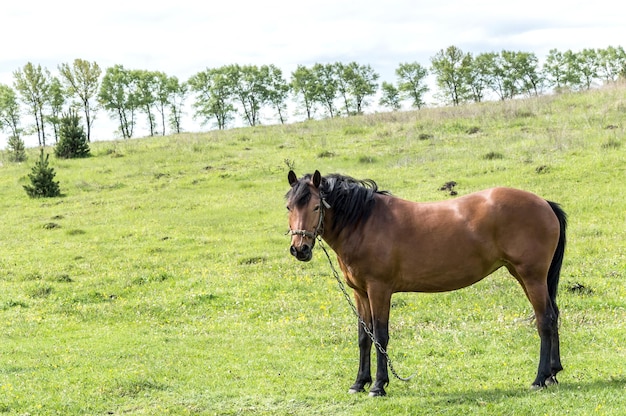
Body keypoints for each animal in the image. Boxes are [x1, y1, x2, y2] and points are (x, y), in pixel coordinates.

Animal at [284, 170, 564, 396]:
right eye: (289, 207)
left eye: (316, 207)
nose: (300, 249)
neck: (363, 222)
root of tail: (544, 203)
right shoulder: (360, 293)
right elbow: (364, 337)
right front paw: (359, 383)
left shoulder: (379, 289)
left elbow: (381, 335)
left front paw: (378, 386)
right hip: (524, 275)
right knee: (553, 316)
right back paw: (553, 373)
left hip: (531, 276)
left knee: (545, 320)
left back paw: (539, 379)